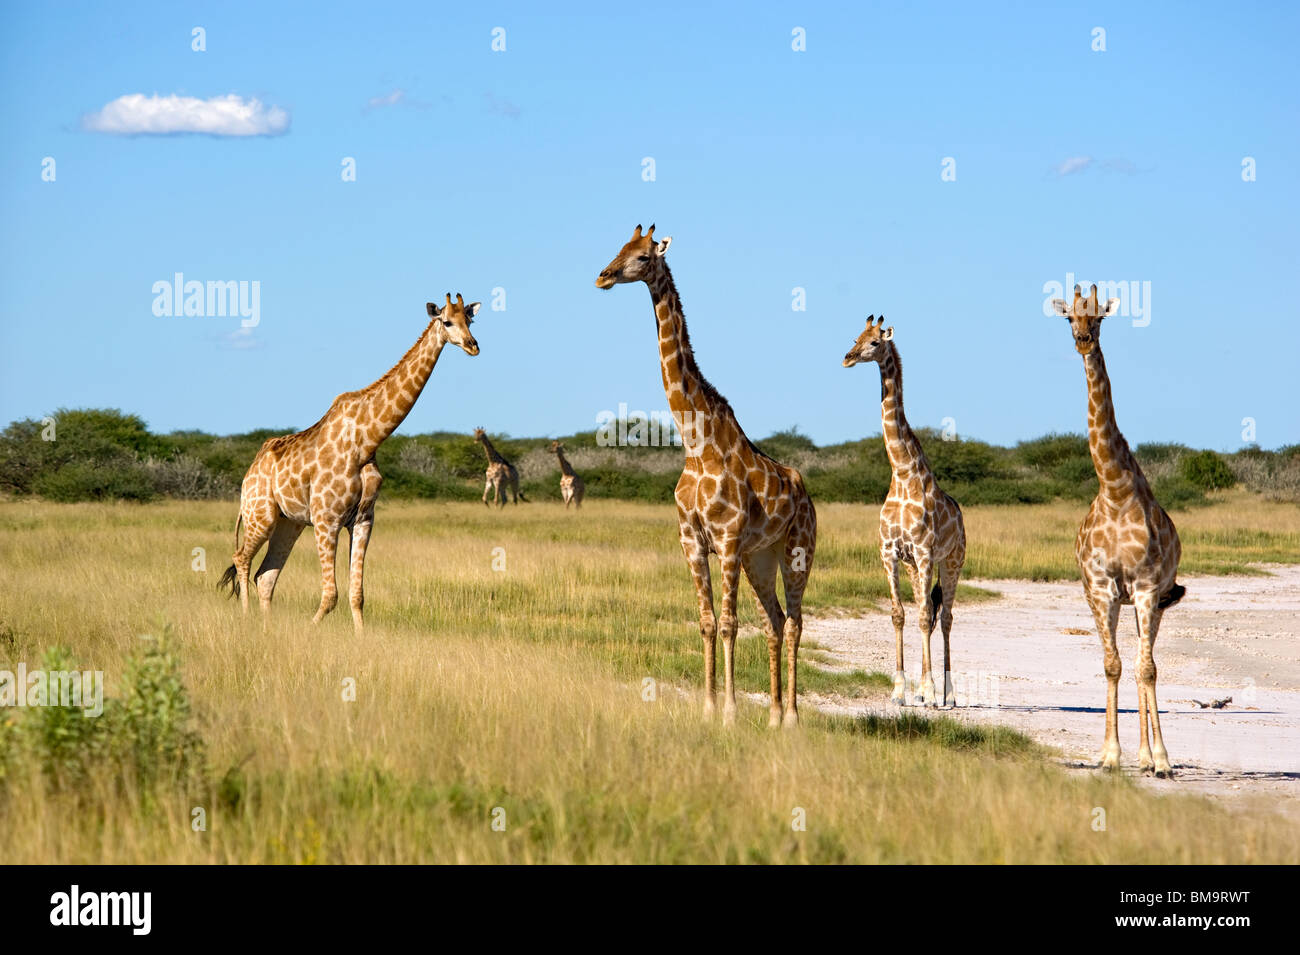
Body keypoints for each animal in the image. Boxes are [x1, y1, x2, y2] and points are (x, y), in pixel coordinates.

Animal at [218, 293, 482, 630]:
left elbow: (357, 594)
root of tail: (249, 471)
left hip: (289, 521)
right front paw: (311, 630)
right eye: (447, 321)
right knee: (242, 558)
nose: (473, 345)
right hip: (259, 513)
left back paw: (266, 625)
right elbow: (331, 595)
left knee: (265, 576)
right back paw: (247, 619)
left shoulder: (363, 519)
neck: (367, 440)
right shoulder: (326, 519)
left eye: (470, 320)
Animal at [596, 224, 817, 727]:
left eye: (642, 257)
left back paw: (793, 718)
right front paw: (708, 708)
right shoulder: (692, 540)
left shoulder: (728, 539)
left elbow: (731, 624)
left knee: (796, 621)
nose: (603, 276)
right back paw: (773, 715)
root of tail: (807, 495)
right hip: (761, 557)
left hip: (796, 550)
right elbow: (707, 622)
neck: (697, 446)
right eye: (619, 248)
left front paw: (731, 713)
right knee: (775, 620)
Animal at [843, 316, 966, 707]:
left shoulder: (926, 552)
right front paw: (899, 691)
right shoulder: (890, 552)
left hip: (952, 560)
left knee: (945, 617)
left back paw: (948, 694)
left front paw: (928, 691)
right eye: (856, 337)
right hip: (915, 566)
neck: (902, 474)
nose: (847, 358)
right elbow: (899, 614)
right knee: (924, 611)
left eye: (874, 342)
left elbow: (927, 616)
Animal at [1052, 284, 1184, 777]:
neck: (1114, 488)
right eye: (1068, 316)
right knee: (1132, 658)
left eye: (1101, 318)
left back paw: (1152, 757)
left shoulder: (1145, 587)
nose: (1084, 340)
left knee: (1149, 661)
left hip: (1157, 602)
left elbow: (1147, 669)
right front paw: (1109, 755)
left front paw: (1160, 760)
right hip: (1122, 601)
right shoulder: (1101, 588)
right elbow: (1112, 665)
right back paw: (1138, 755)